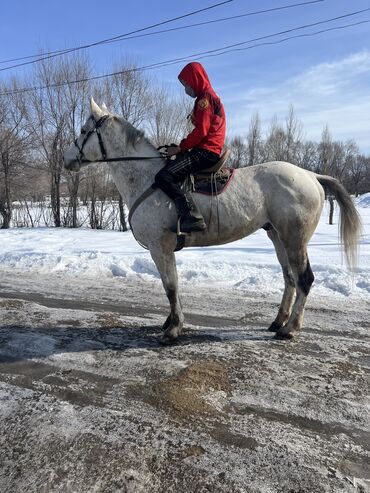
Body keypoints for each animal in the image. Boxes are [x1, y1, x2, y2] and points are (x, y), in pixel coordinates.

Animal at [63, 97, 362, 342]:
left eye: (83, 131)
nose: (67, 159)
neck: (147, 180)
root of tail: (311, 175)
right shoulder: (163, 250)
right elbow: (172, 286)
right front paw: (170, 322)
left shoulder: (160, 247)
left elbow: (170, 286)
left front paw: (173, 328)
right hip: (277, 236)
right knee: (290, 279)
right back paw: (278, 322)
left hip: (294, 239)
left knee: (304, 280)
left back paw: (290, 329)